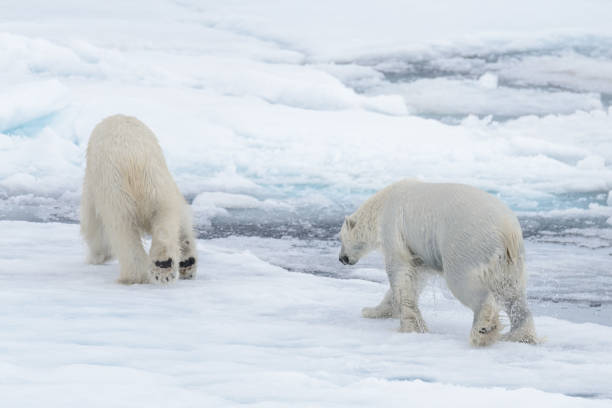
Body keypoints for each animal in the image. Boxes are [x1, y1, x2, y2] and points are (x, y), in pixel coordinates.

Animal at [80, 114, 197, 284]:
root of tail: (133, 160)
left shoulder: (93, 185)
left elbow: (93, 225)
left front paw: (96, 256)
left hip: (115, 191)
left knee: (122, 230)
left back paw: (133, 276)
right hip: (155, 184)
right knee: (165, 217)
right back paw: (165, 265)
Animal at [338, 180, 536, 346]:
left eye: (341, 238)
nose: (341, 258)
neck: (381, 205)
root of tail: (507, 231)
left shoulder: (393, 228)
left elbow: (399, 272)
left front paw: (409, 326)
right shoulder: (421, 251)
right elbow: (416, 277)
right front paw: (373, 311)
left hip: (465, 244)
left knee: (465, 284)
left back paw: (482, 330)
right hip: (510, 260)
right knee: (512, 293)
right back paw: (520, 335)